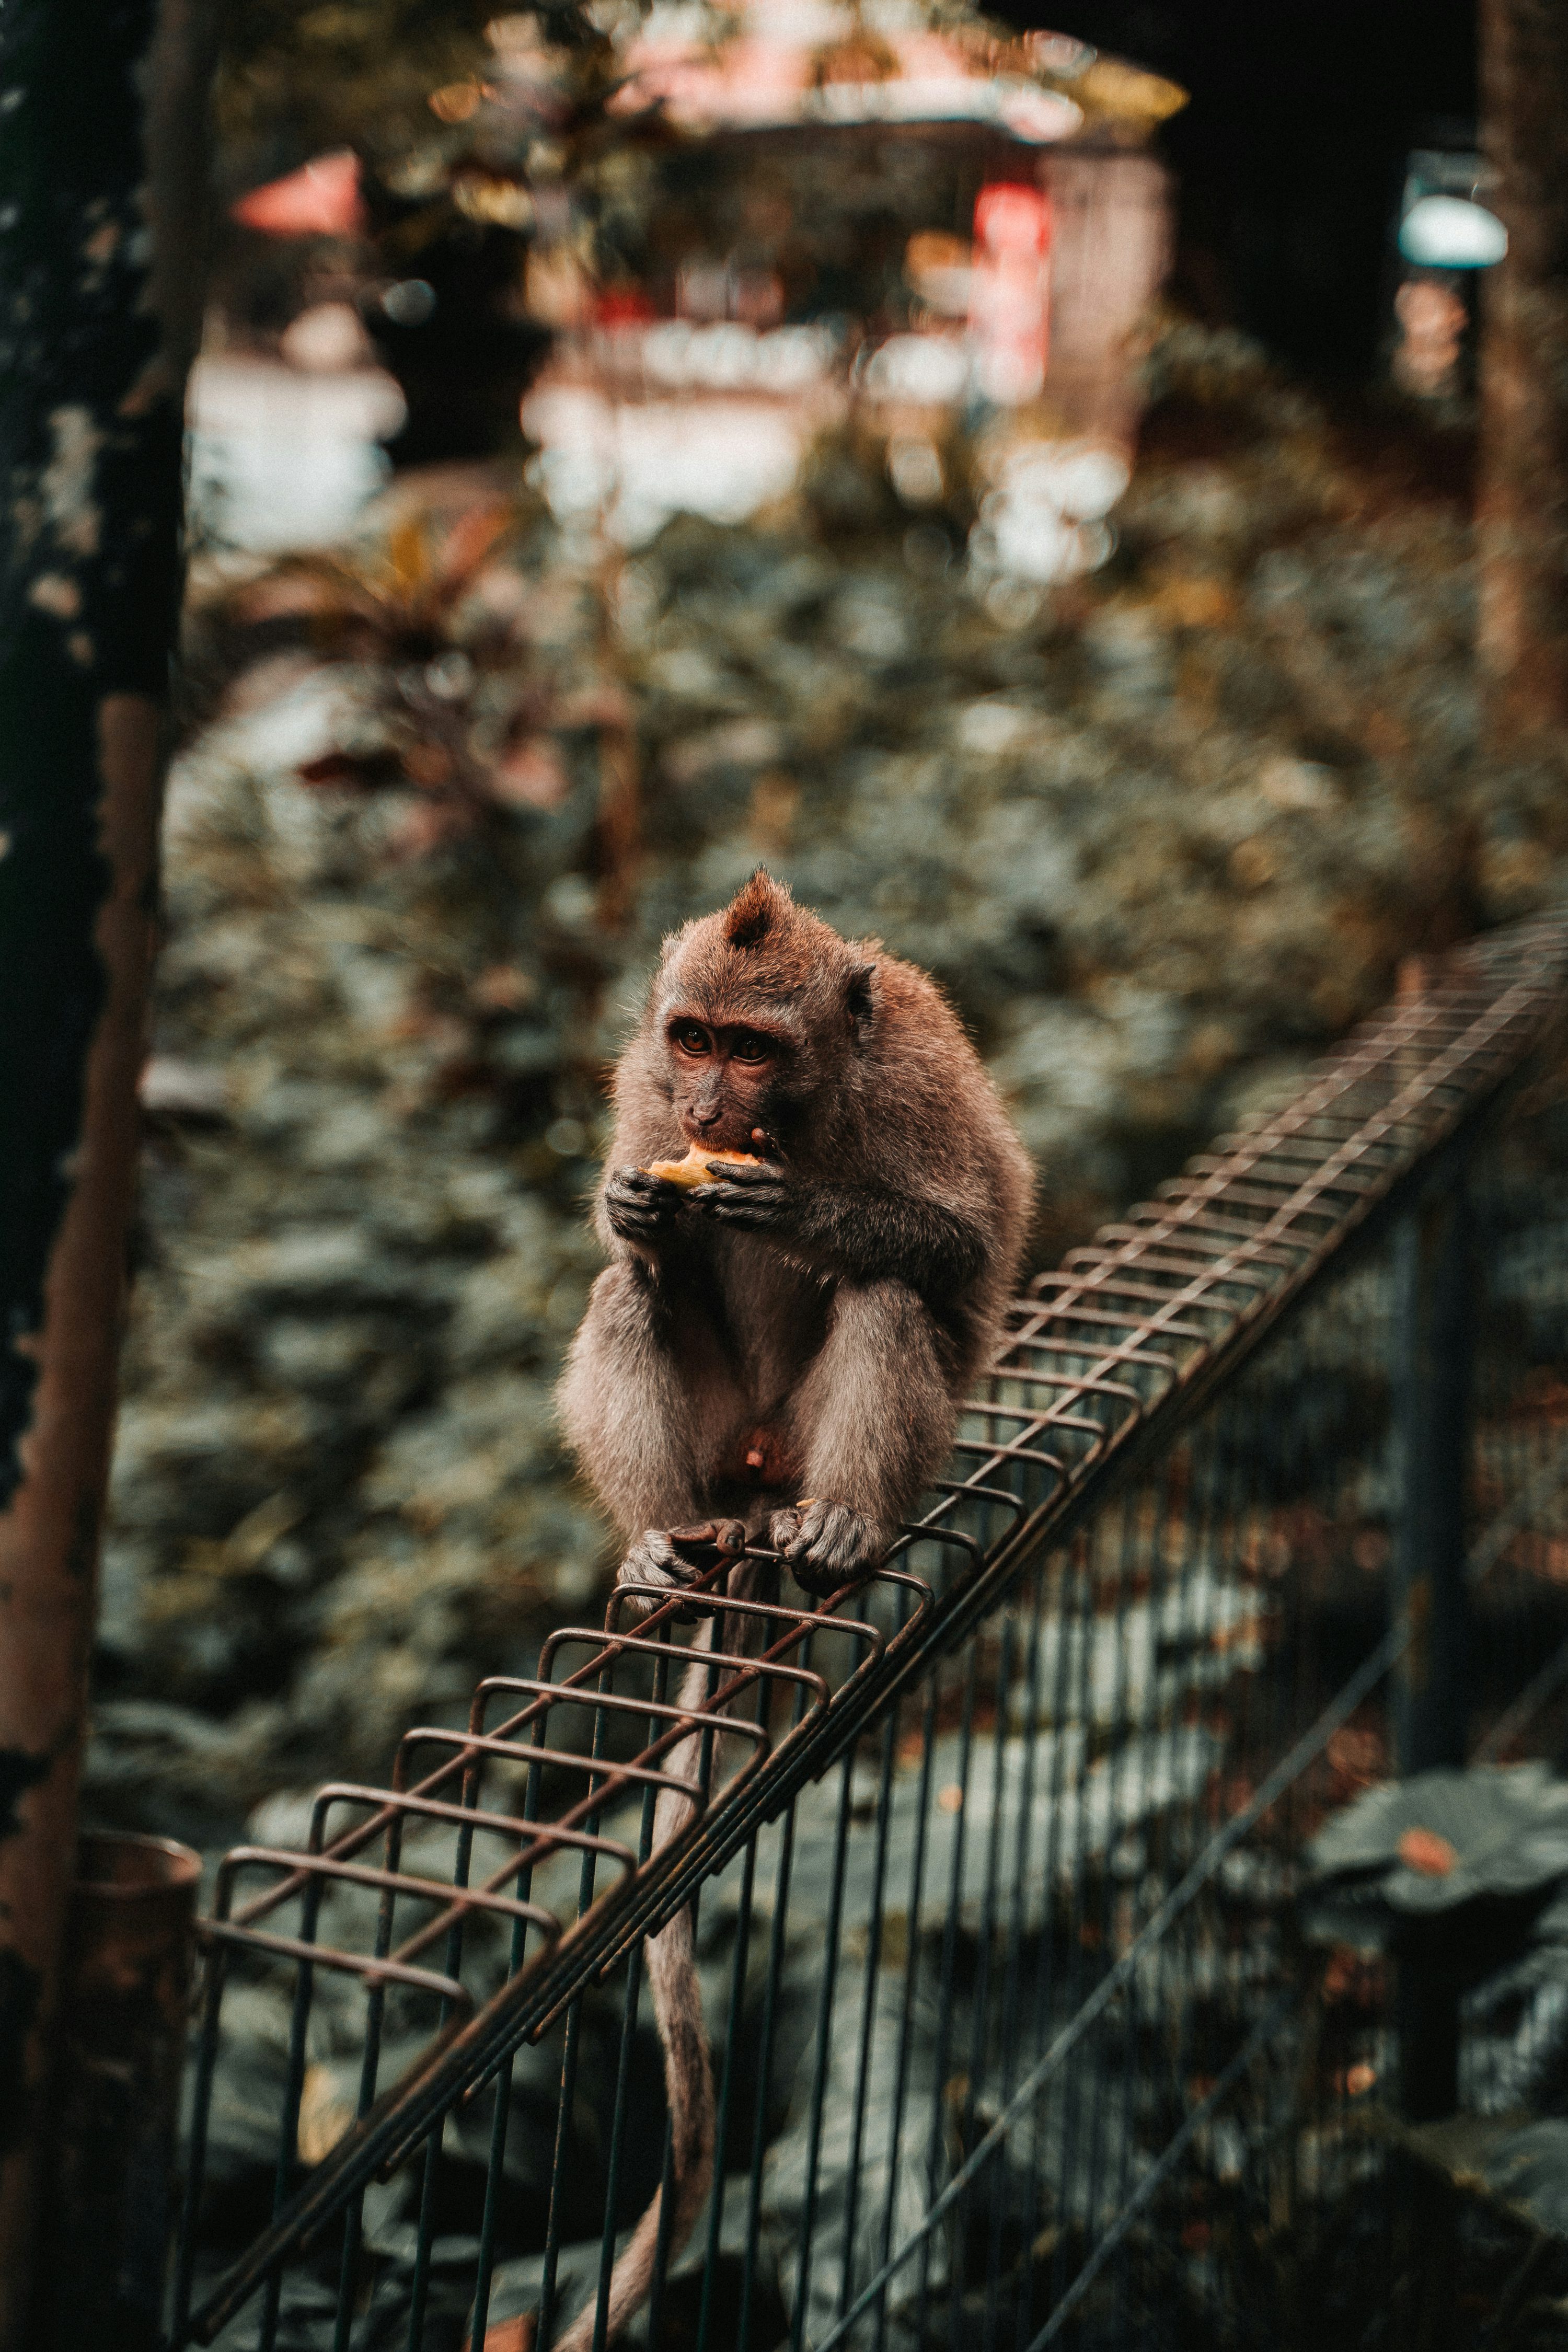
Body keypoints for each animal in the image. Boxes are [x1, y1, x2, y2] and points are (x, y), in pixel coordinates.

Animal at [547, 869, 1032, 2349]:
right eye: (693, 1038)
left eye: (752, 1049)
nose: (711, 1112)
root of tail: (756, 1485)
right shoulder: (642, 1086)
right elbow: (633, 1233)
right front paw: (637, 1206)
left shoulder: (917, 1084)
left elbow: (956, 1238)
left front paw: (798, 1208)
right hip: (716, 1446)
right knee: (631, 1294)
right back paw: (661, 1543)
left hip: (815, 1443)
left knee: (888, 1296)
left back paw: (842, 1528)